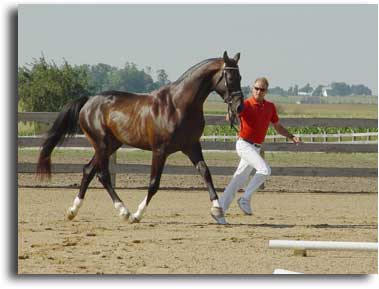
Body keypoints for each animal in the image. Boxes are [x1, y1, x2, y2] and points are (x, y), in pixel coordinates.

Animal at [37, 51, 245, 223]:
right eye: (230, 77)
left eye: (240, 76)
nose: (239, 106)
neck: (178, 106)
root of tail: (88, 101)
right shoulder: (160, 150)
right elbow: (154, 183)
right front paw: (137, 215)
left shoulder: (192, 146)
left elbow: (206, 173)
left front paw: (218, 210)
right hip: (102, 144)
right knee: (102, 175)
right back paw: (124, 212)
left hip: (110, 145)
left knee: (88, 171)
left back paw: (73, 211)